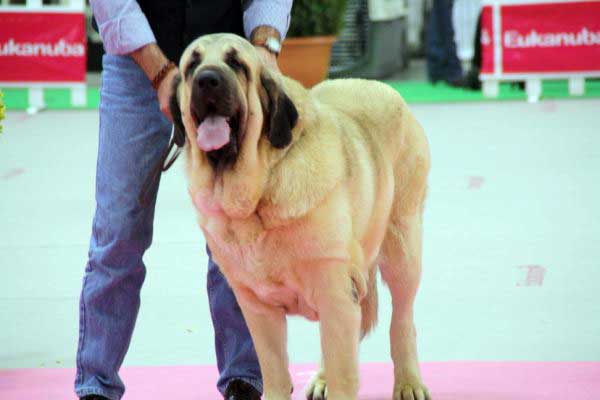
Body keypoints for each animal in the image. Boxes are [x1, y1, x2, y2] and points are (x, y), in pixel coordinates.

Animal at [169, 34, 432, 400]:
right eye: (192, 65)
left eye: (236, 63)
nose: (207, 79)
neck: (259, 192)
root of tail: (377, 85)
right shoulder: (258, 308)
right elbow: (276, 371)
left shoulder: (335, 290)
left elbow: (344, 373)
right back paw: (321, 379)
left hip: (402, 250)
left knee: (402, 322)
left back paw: (409, 383)